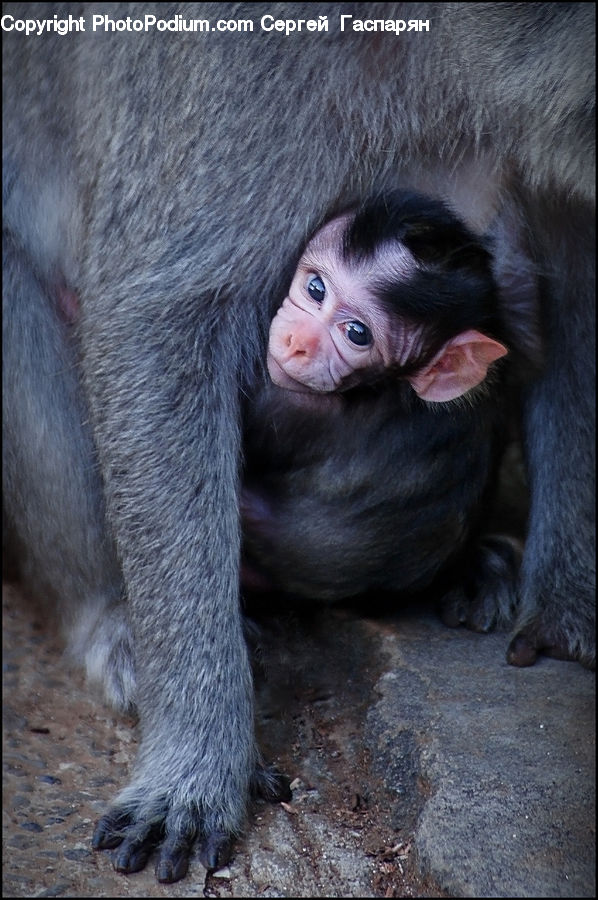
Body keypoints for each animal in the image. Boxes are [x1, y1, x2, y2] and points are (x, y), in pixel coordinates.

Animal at [2, 1, 594, 884]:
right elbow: (159, 313)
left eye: (356, 330)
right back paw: (112, 617)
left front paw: (569, 601)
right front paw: (196, 757)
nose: (300, 342)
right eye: (312, 288)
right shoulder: (247, 59)